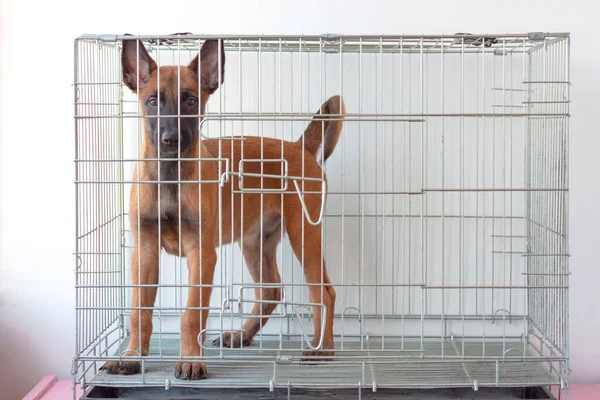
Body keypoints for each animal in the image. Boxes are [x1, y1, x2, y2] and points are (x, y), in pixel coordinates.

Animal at [104, 38, 342, 382]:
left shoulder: (201, 254)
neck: (171, 176)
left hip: (305, 235)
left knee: (323, 294)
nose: (171, 140)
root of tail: (300, 147)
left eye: (191, 101)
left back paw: (322, 348)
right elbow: (139, 311)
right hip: (255, 242)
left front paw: (191, 360)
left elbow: (192, 313)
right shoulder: (144, 251)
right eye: (152, 101)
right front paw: (133, 355)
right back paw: (242, 334)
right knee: (271, 291)